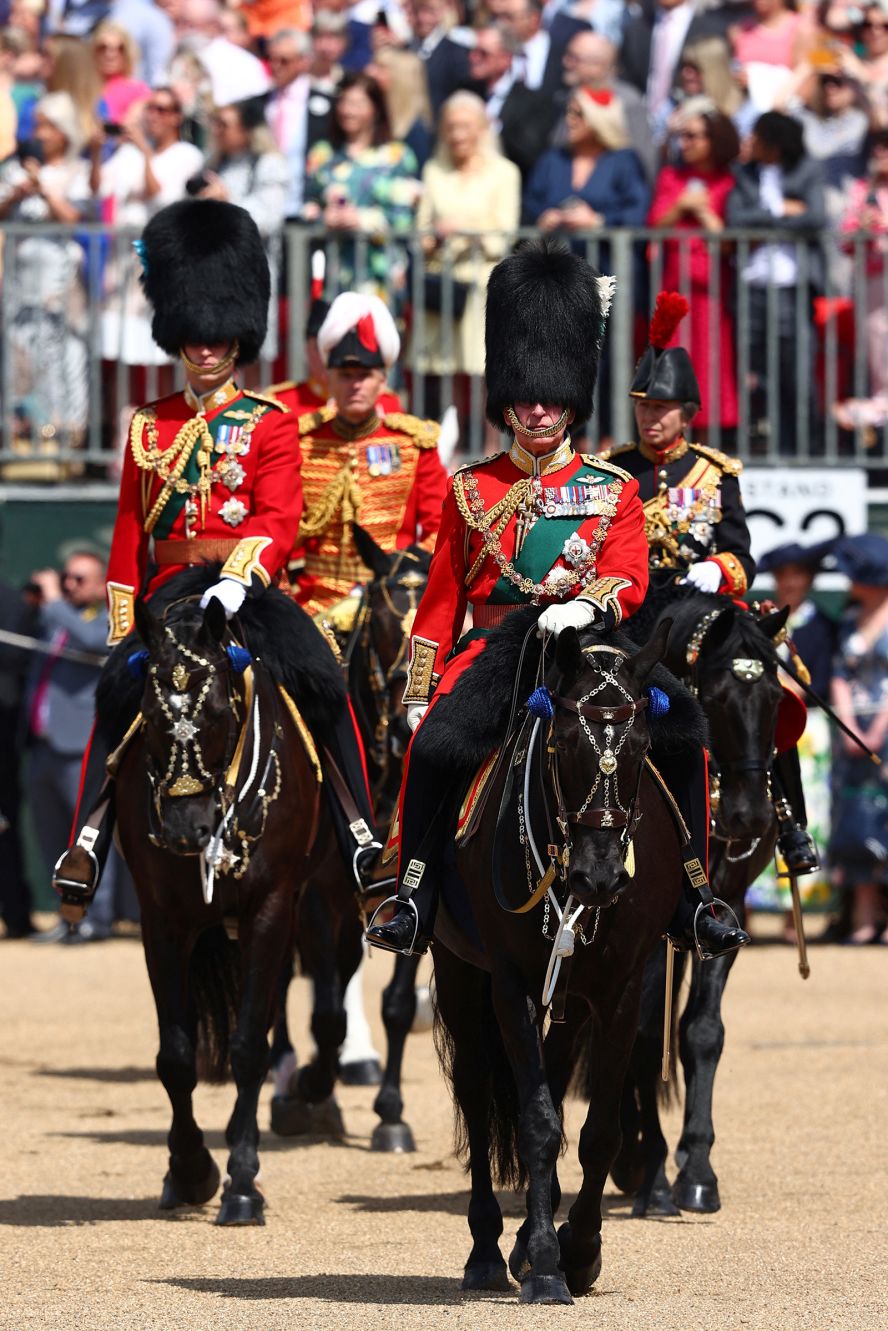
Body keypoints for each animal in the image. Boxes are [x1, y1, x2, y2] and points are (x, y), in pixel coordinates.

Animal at [431, 609, 692, 1299]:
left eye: (641, 749)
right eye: (566, 744)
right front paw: (549, 1263)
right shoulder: (511, 984)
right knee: (476, 1090)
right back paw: (488, 1250)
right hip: (457, 969)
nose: (598, 878)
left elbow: (598, 1129)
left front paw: (581, 1249)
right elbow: (538, 1123)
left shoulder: (623, 985)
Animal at [612, 588, 793, 1219]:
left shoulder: (723, 908)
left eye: (776, 700)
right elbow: (643, 1036)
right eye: (713, 699)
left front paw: (695, 1170)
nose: (750, 817)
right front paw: (651, 1176)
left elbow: (701, 1031)